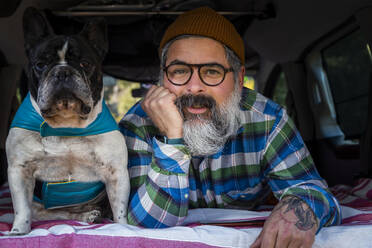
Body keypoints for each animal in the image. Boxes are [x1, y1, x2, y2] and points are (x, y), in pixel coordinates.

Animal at [5, 6, 130, 234]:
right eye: (40, 64)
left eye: (85, 63)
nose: (62, 72)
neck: (66, 124)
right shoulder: (20, 170)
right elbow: (22, 209)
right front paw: (18, 232)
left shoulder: (116, 172)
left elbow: (120, 209)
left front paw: (124, 228)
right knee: (56, 214)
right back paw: (85, 215)